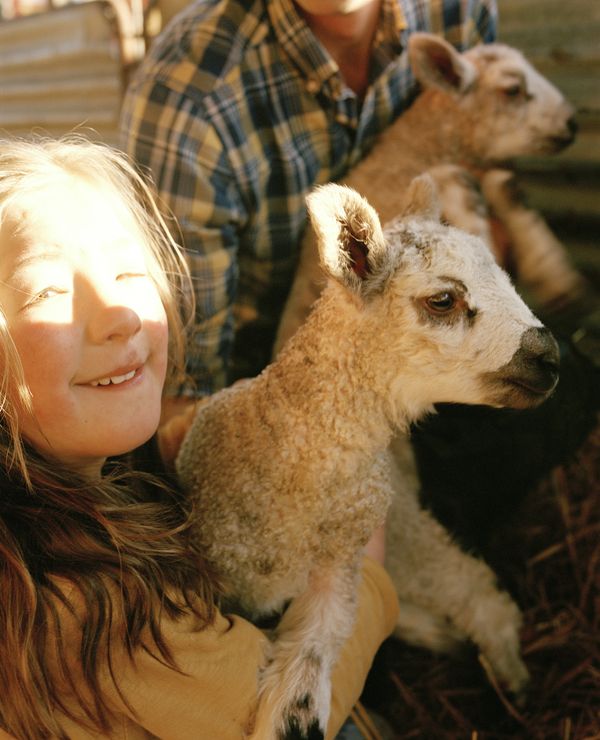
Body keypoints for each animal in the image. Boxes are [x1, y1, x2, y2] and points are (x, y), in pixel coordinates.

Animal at [273, 32, 585, 356]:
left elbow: (506, 185)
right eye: (512, 90)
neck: (417, 151)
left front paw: (555, 276)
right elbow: (451, 182)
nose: (573, 123)